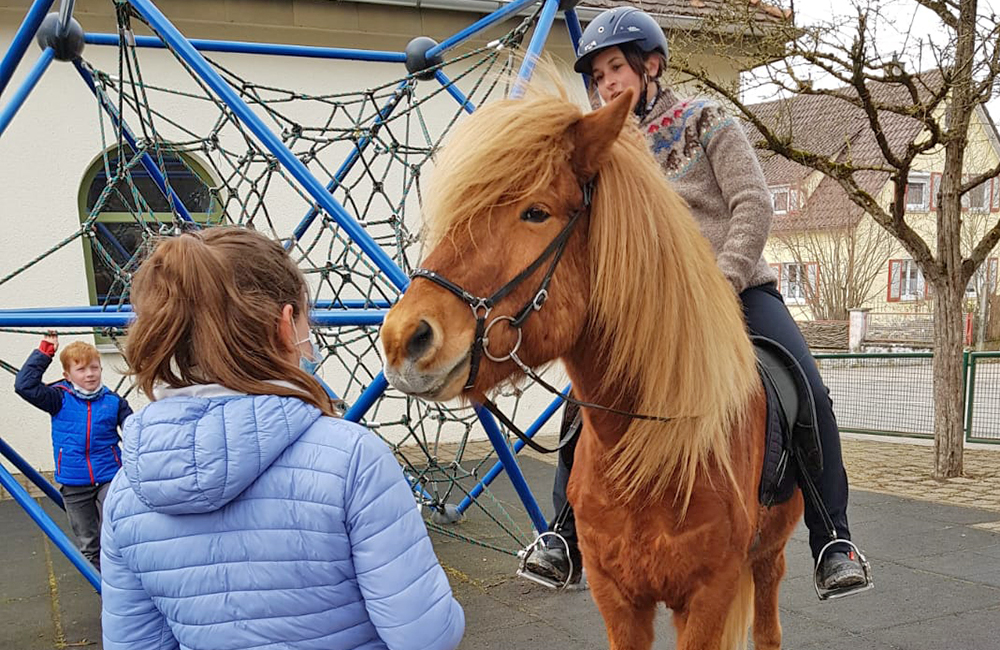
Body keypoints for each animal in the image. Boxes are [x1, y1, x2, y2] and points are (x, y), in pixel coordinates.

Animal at [380, 86, 804, 648]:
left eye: (536, 212)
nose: (403, 339)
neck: (656, 448)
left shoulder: (709, 599)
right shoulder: (617, 597)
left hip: (769, 554)